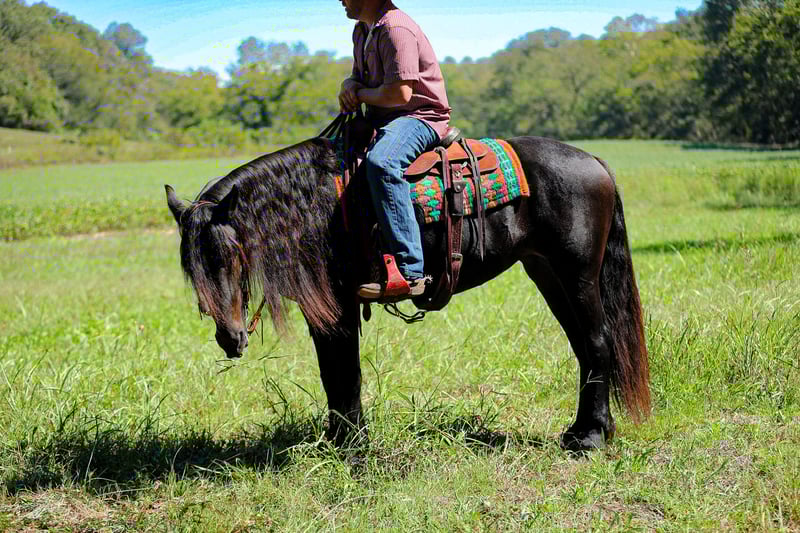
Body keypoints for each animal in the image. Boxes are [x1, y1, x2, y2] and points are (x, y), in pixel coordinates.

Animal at [164, 133, 650, 452]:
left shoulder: (339, 308)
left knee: (598, 342)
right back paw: (586, 429)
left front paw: (351, 447)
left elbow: (345, 374)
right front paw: (338, 441)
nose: (229, 338)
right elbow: (332, 374)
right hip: (547, 273)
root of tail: (594, 160)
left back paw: (590, 438)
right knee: (584, 348)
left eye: (230, 255)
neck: (316, 208)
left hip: (578, 273)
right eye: (191, 266)